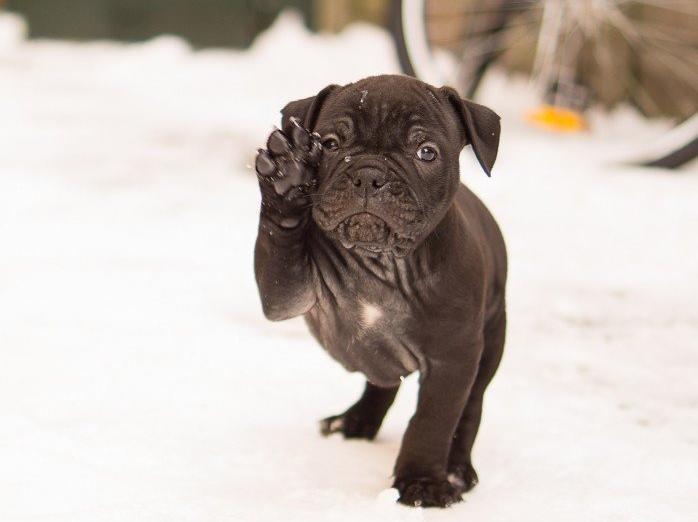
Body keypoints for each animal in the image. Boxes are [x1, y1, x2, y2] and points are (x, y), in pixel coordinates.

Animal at [253, 75, 502, 506]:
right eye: (330, 144)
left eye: (426, 151)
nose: (369, 175)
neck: (381, 260)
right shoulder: (286, 292)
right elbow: (279, 244)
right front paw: (285, 178)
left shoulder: (452, 358)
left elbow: (433, 420)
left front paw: (422, 482)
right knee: (382, 382)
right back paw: (356, 421)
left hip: (489, 345)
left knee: (470, 408)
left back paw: (457, 468)